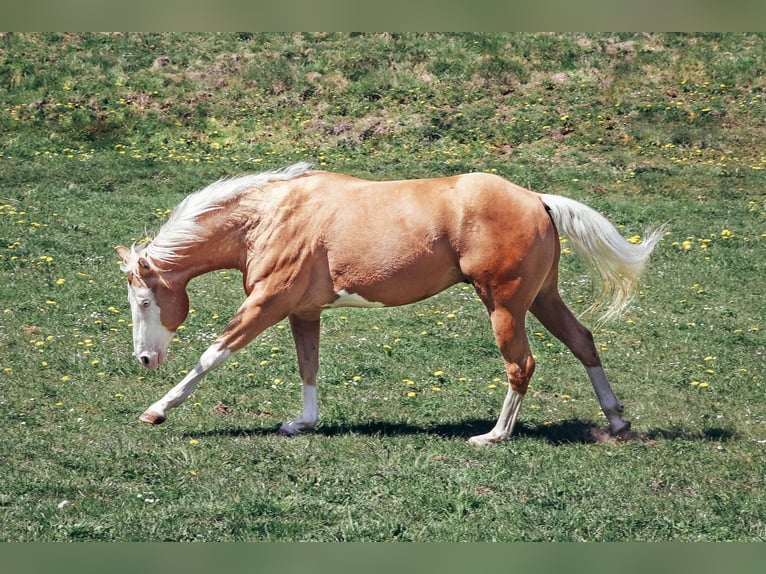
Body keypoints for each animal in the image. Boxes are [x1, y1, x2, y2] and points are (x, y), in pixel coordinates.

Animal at [116, 162, 663, 445]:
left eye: (143, 300)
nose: (144, 359)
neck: (270, 217)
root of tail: (536, 198)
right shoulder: (303, 312)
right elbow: (308, 366)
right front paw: (302, 423)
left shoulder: (266, 304)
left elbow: (211, 355)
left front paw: (156, 411)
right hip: (542, 298)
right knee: (583, 341)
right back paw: (617, 420)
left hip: (505, 305)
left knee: (521, 365)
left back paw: (493, 436)